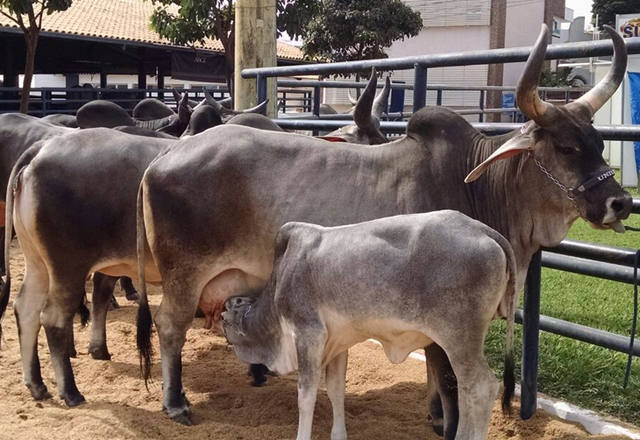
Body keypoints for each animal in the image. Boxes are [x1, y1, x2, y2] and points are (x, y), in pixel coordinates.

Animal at [222, 210, 516, 440]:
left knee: (480, 388)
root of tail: (482, 230)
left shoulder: (308, 333)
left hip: (460, 339)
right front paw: (339, 435)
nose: (222, 329)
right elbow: (336, 390)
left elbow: (305, 396)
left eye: (225, 317)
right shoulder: (337, 343)